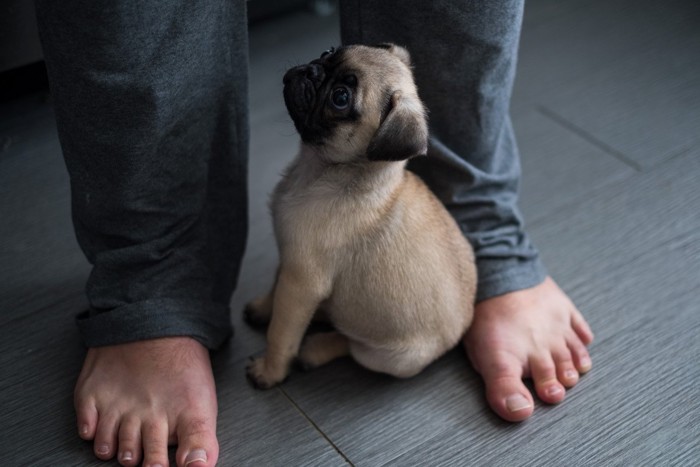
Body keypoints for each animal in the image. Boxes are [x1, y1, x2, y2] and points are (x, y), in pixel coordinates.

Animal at [245, 44, 476, 390]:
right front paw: (262, 309)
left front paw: (269, 371)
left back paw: (315, 348)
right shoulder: (289, 262)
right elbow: (275, 288)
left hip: (390, 357)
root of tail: (461, 331)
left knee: (352, 346)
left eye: (340, 98)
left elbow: (281, 333)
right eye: (327, 52)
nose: (311, 70)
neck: (322, 170)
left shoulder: (301, 282)